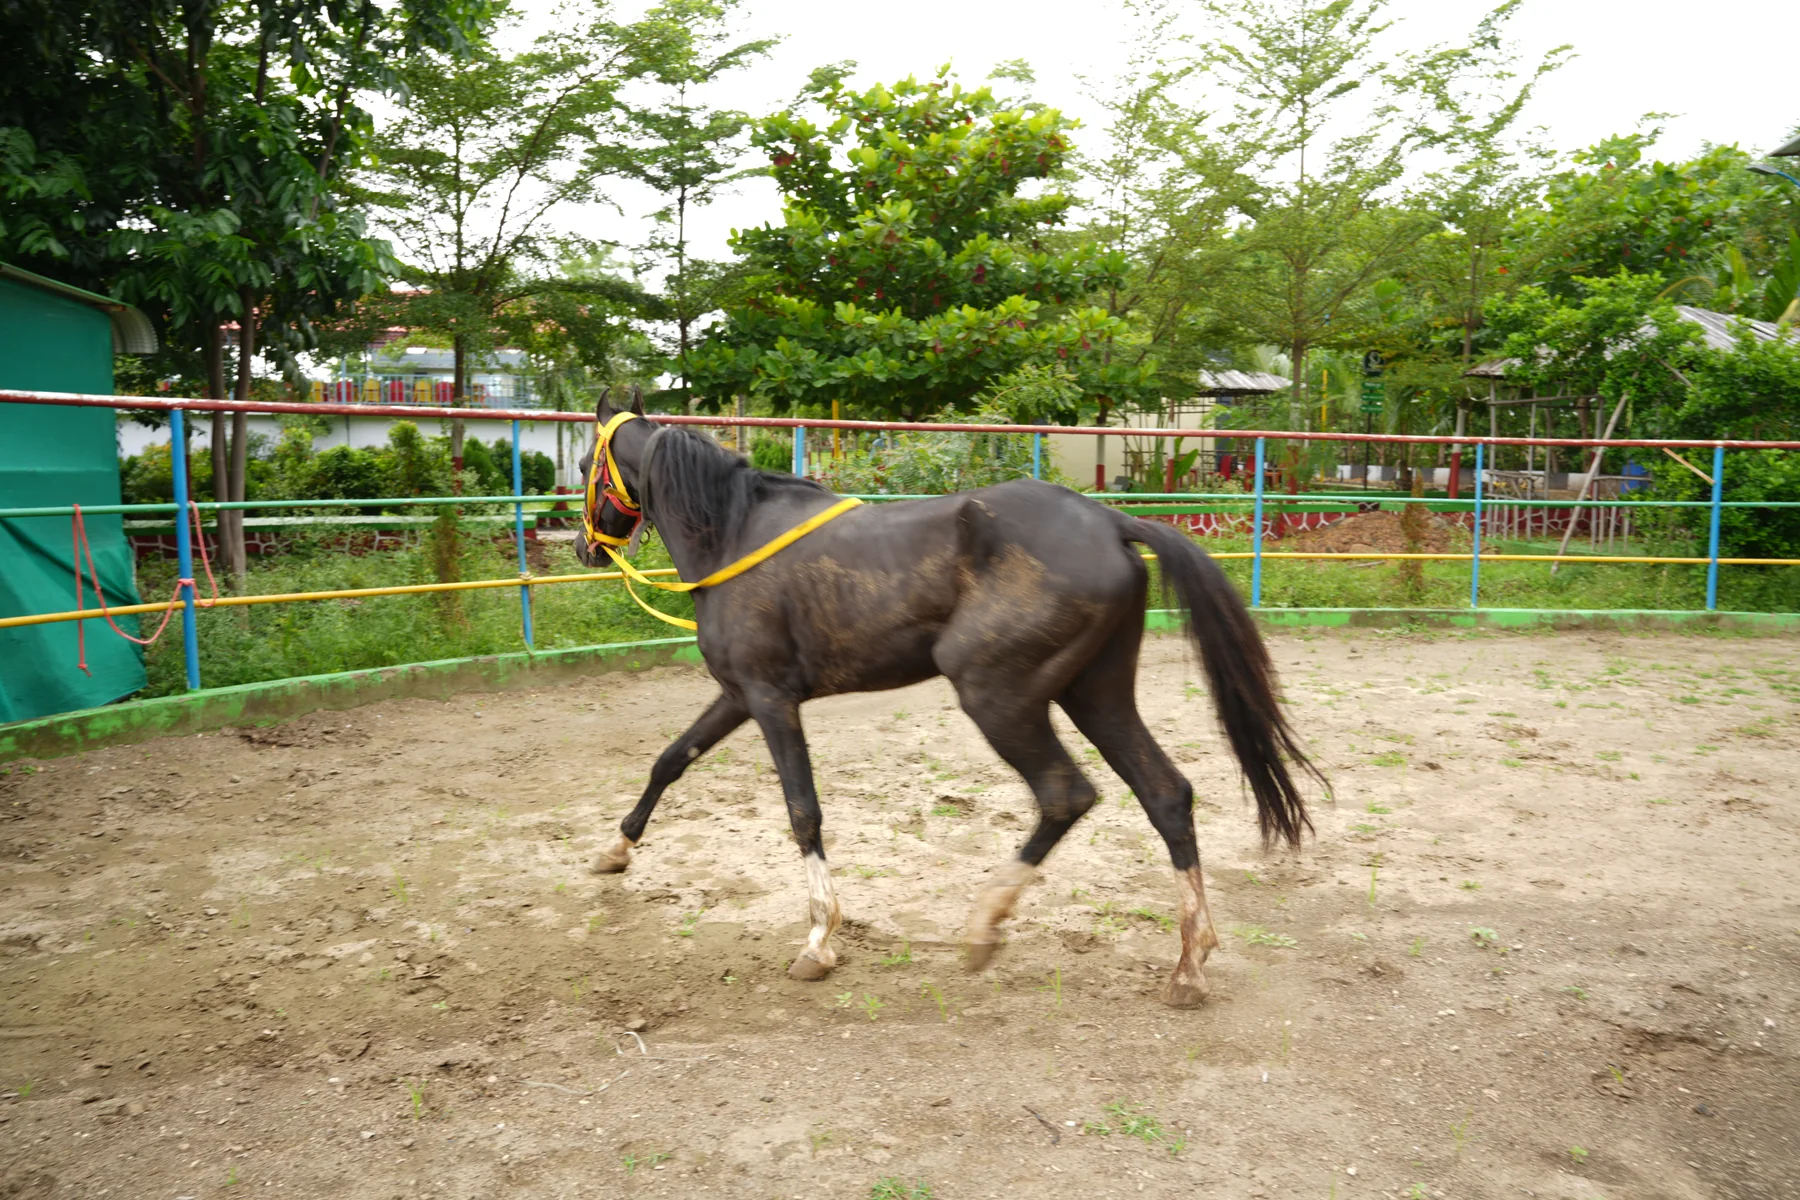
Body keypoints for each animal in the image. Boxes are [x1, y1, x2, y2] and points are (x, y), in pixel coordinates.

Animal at [574, 391, 1321, 1007]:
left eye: (585, 462)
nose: (584, 548)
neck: (734, 533)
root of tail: (1109, 523)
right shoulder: (736, 695)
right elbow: (670, 760)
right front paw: (615, 851)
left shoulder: (770, 699)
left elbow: (803, 812)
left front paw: (819, 942)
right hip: (1097, 695)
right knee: (1166, 795)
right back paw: (1188, 966)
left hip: (997, 696)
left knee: (1065, 794)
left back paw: (984, 926)